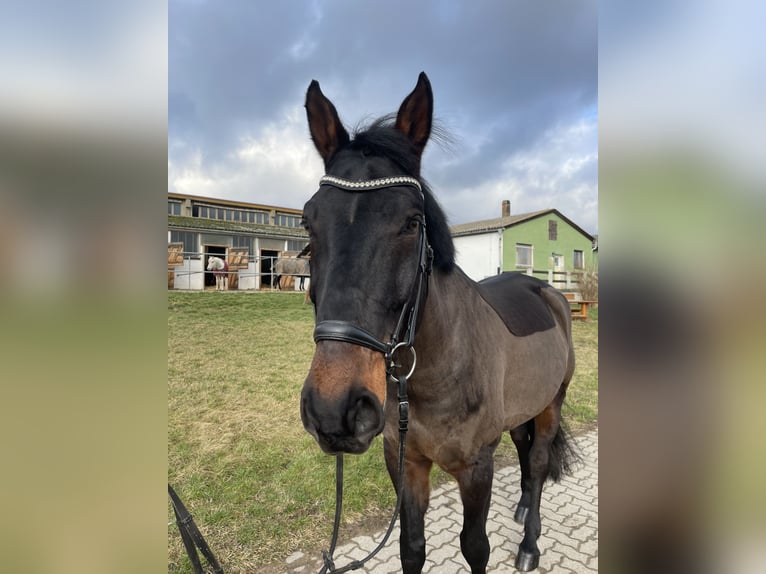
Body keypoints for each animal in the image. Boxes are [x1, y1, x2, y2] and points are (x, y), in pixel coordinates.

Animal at [300, 73, 576, 574]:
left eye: (412, 222)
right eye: (308, 223)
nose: (334, 410)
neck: (430, 378)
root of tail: (545, 290)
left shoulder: (476, 467)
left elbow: (475, 546)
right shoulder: (405, 462)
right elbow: (412, 546)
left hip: (551, 405)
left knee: (539, 461)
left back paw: (529, 543)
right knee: (526, 453)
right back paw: (522, 506)